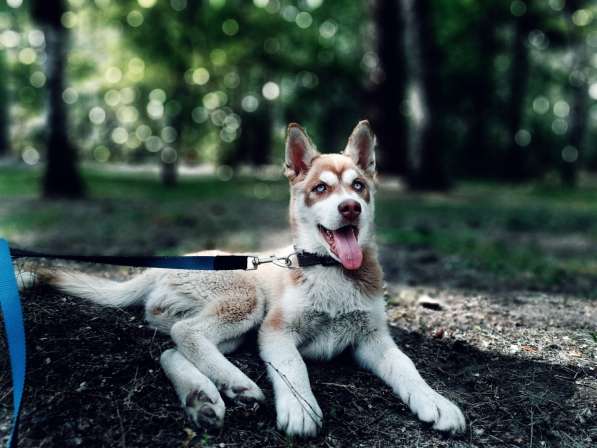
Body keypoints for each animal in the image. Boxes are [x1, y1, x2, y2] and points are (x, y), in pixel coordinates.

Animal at [21, 121, 464, 438]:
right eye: (320, 188)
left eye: (358, 186)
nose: (350, 208)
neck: (329, 270)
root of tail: (156, 267)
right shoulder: (276, 331)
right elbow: (294, 367)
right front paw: (300, 408)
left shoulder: (373, 339)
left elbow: (407, 366)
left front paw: (435, 402)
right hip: (247, 300)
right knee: (186, 332)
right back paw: (236, 384)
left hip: (234, 329)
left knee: (172, 349)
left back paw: (204, 396)